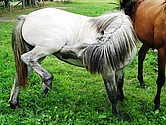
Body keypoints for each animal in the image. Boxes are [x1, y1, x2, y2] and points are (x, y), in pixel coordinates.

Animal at [8, 7, 137, 117]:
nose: (62, 51)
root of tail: (26, 17)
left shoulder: (120, 69)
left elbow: (120, 84)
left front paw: (122, 99)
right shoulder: (107, 71)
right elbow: (112, 94)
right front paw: (117, 115)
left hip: (40, 54)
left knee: (20, 76)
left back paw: (14, 103)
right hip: (46, 48)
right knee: (27, 58)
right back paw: (47, 79)